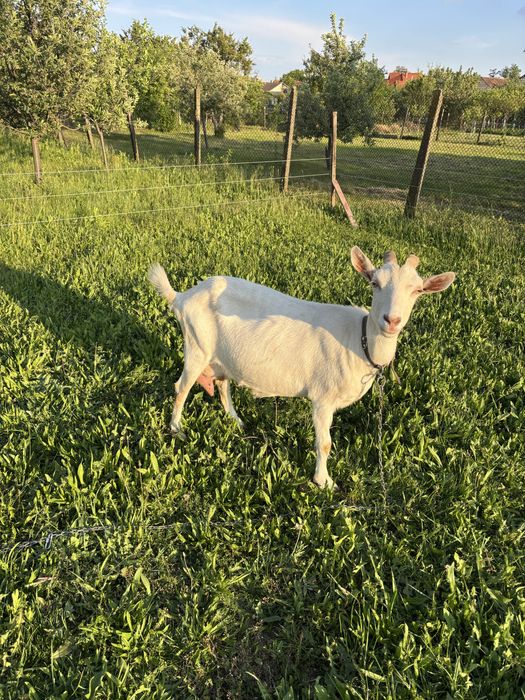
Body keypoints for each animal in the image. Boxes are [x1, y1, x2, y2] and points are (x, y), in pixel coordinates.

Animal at [148, 248, 455, 488]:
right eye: (374, 282)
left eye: (417, 290)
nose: (391, 320)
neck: (358, 340)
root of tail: (181, 296)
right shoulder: (322, 398)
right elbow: (325, 443)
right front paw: (324, 482)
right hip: (197, 344)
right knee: (181, 387)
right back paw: (177, 429)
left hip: (220, 355)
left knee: (222, 384)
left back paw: (236, 421)